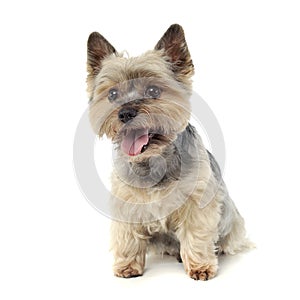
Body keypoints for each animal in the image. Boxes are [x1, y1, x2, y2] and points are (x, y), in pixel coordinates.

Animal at [86, 24, 251, 280]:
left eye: (154, 90)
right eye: (112, 94)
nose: (125, 113)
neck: (153, 159)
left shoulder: (197, 204)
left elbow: (196, 235)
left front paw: (200, 266)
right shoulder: (125, 202)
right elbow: (127, 236)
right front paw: (127, 265)